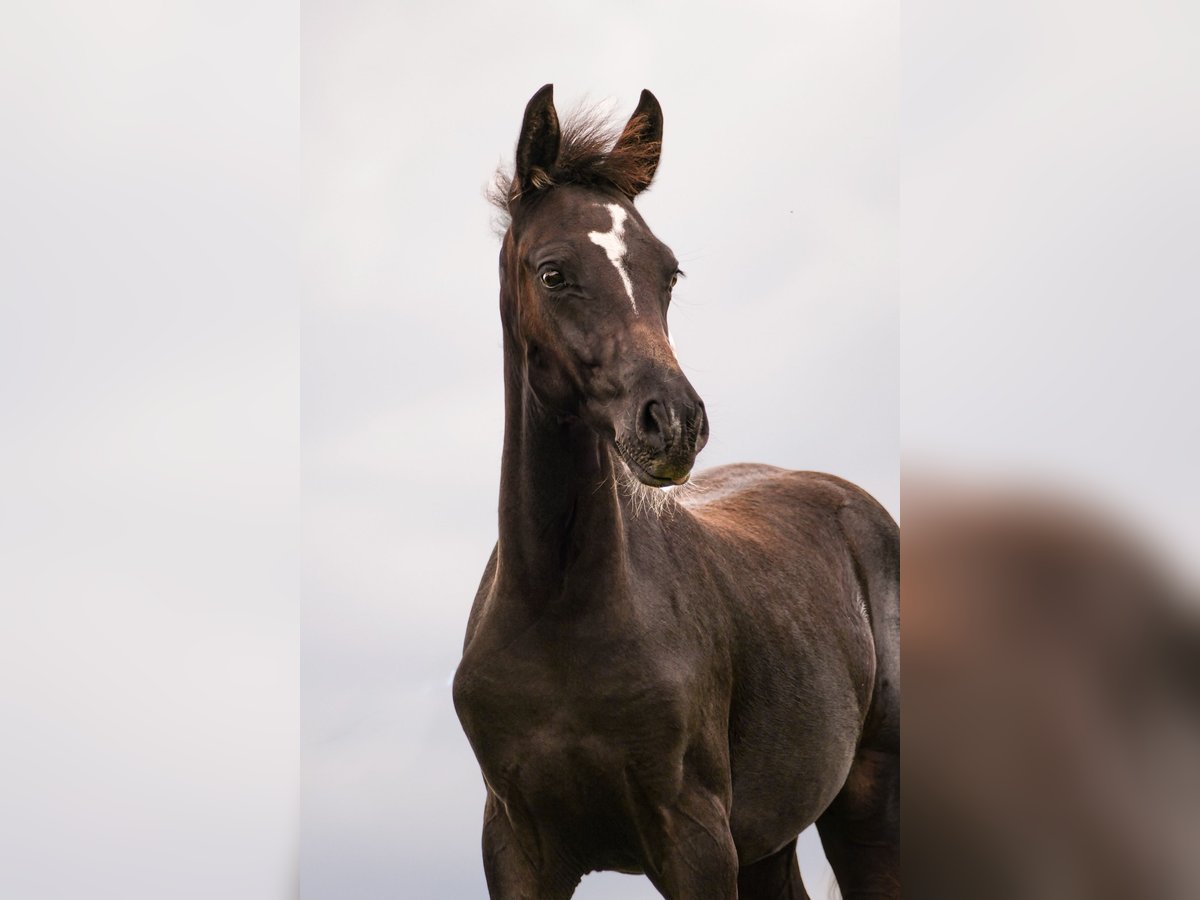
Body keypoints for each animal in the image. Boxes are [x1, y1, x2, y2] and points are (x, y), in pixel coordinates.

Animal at [451, 86, 902, 900]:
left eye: (668, 273)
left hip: (869, 810)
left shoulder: (695, 840)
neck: (557, 610)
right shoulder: (516, 846)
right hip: (769, 838)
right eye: (553, 272)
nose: (675, 423)